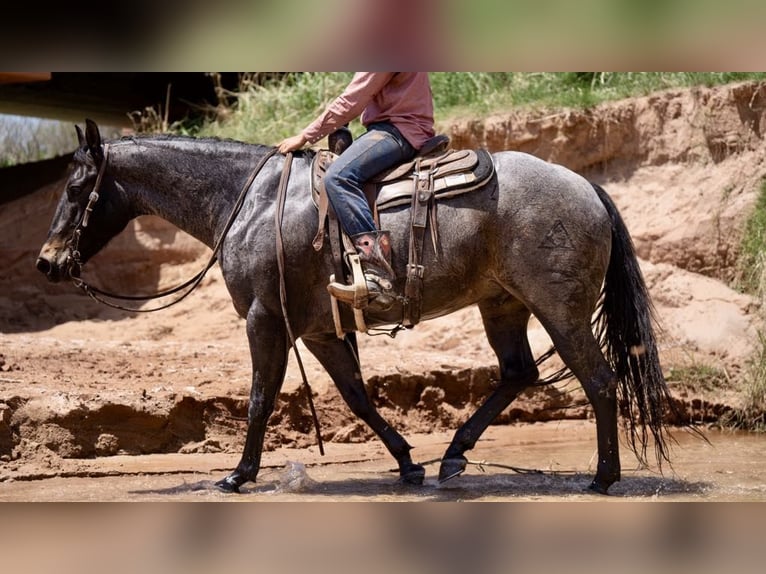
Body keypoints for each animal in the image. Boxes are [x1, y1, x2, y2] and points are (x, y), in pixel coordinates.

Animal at [36, 120, 676, 496]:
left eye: (75, 188)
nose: (46, 262)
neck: (250, 202)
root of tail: (585, 186)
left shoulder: (265, 319)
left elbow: (260, 398)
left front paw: (238, 475)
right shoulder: (320, 331)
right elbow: (357, 397)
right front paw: (407, 463)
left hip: (558, 308)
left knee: (599, 380)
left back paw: (603, 478)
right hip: (502, 306)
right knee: (519, 373)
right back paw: (452, 458)